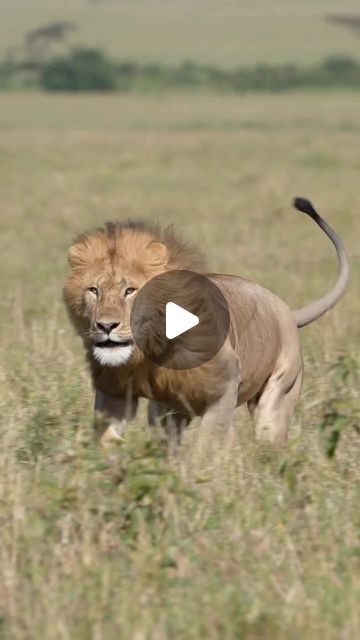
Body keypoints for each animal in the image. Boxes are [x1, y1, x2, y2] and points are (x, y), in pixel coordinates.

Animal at [64, 199, 348, 444]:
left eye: (130, 291)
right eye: (94, 290)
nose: (106, 326)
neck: (148, 352)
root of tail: (286, 309)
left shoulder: (226, 384)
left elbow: (209, 444)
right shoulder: (115, 392)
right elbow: (106, 438)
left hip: (277, 397)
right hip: (166, 410)